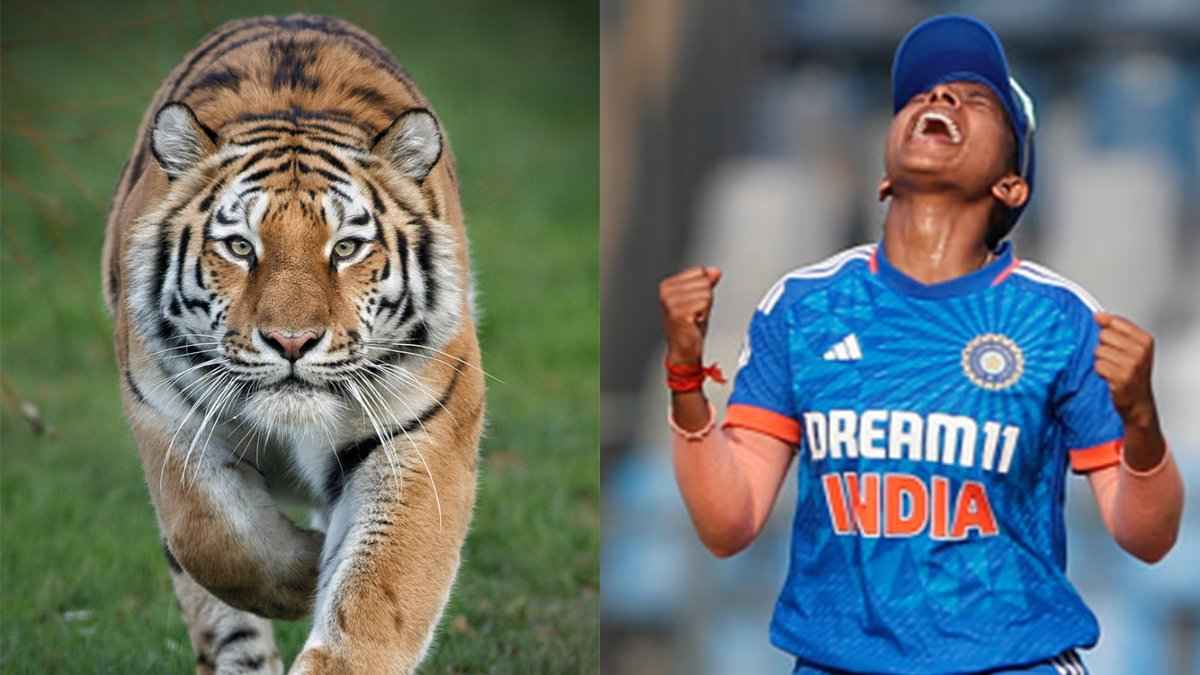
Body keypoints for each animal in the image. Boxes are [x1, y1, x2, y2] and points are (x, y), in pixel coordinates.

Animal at [101, 14, 485, 675]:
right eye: (240, 247)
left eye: (346, 248)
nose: (292, 341)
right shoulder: (167, 418)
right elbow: (215, 540)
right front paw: (310, 569)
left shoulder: (424, 429)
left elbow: (379, 588)